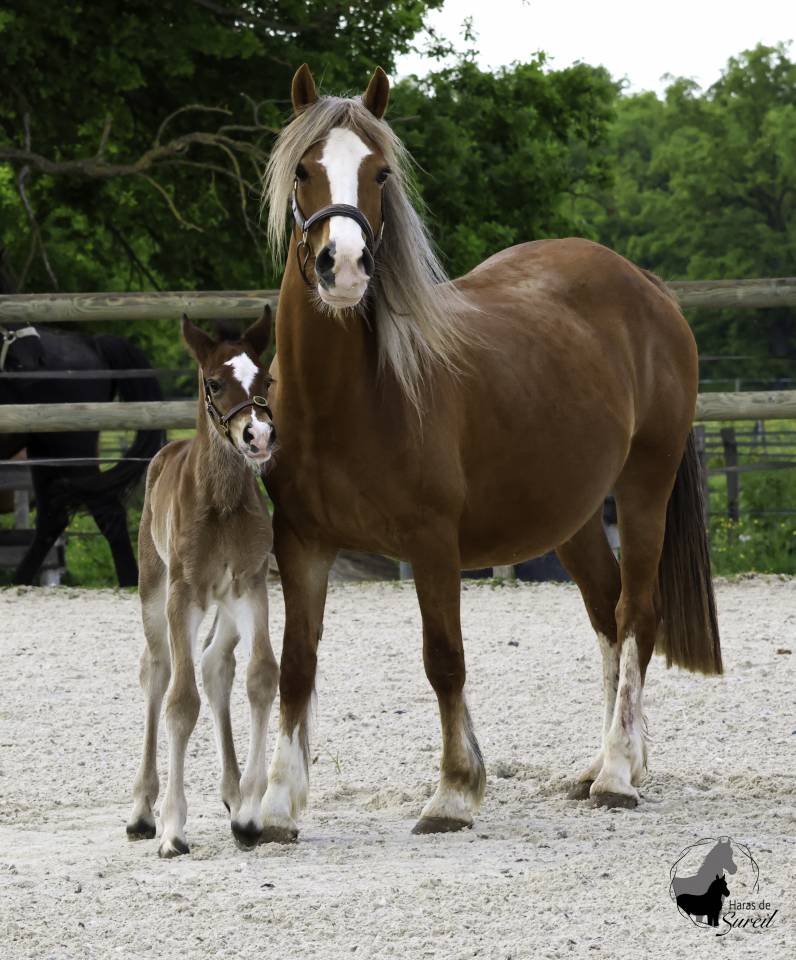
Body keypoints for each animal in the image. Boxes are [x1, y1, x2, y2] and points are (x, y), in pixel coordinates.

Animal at [0, 271, 164, 585]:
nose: (33, 356)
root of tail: (92, 343)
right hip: (45, 451)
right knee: (52, 519)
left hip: (71, 448)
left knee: (106, 511)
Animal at [126, 307, 278, 857]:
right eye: (214, 382)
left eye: (266, 380)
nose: (258, 436)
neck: (222, 502)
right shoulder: (183, 594)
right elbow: (180, 700)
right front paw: (173, 828)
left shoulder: (250, 586)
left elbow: (261, 676)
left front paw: (251, 815)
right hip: (153, 588)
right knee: (158, 671)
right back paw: (141, 812)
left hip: (226, 605)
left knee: (215, 665)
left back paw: (233, 794)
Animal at [258, 64, 721, 841]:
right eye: (303, 170)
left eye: (380, 172)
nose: (343, 266)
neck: (349, 397)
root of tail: (647, 287)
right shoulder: (301, 542)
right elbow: (296, 664)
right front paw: (273, 807)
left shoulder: (432, 542)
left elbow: (444, 660)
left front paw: (453, 791)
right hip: (572, 516)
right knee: (607, 612)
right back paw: (608, 762)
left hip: (644, 487)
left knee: (636, 614)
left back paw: (618, 775)